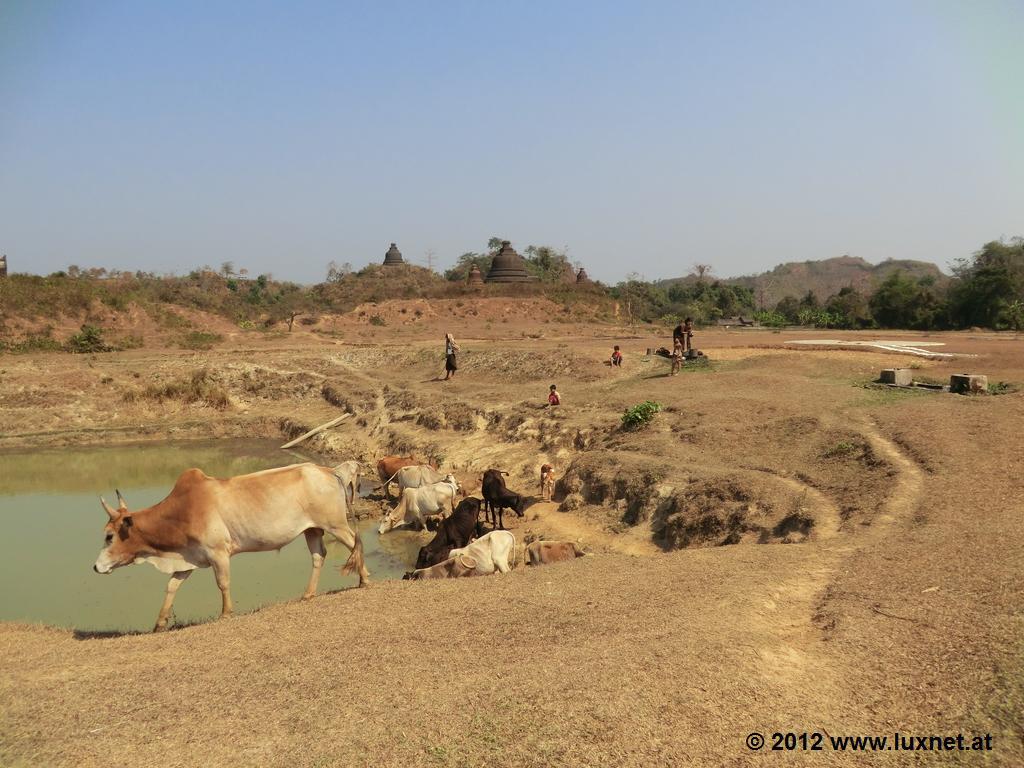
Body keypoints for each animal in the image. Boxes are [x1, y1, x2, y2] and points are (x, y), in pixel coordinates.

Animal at [92, 462, 370, 630]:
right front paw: (160, 623)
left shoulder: (218, 553)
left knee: (354, 542)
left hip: (336, 525)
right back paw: (308, 593)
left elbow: (223, 584)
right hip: (312, 530)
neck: (183, 509)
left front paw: (226, 613)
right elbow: (171, 586)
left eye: (109, 536)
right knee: (318, 555)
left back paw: (364, 580)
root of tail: (329, 470)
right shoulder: (188, 558)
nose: (95, 567)